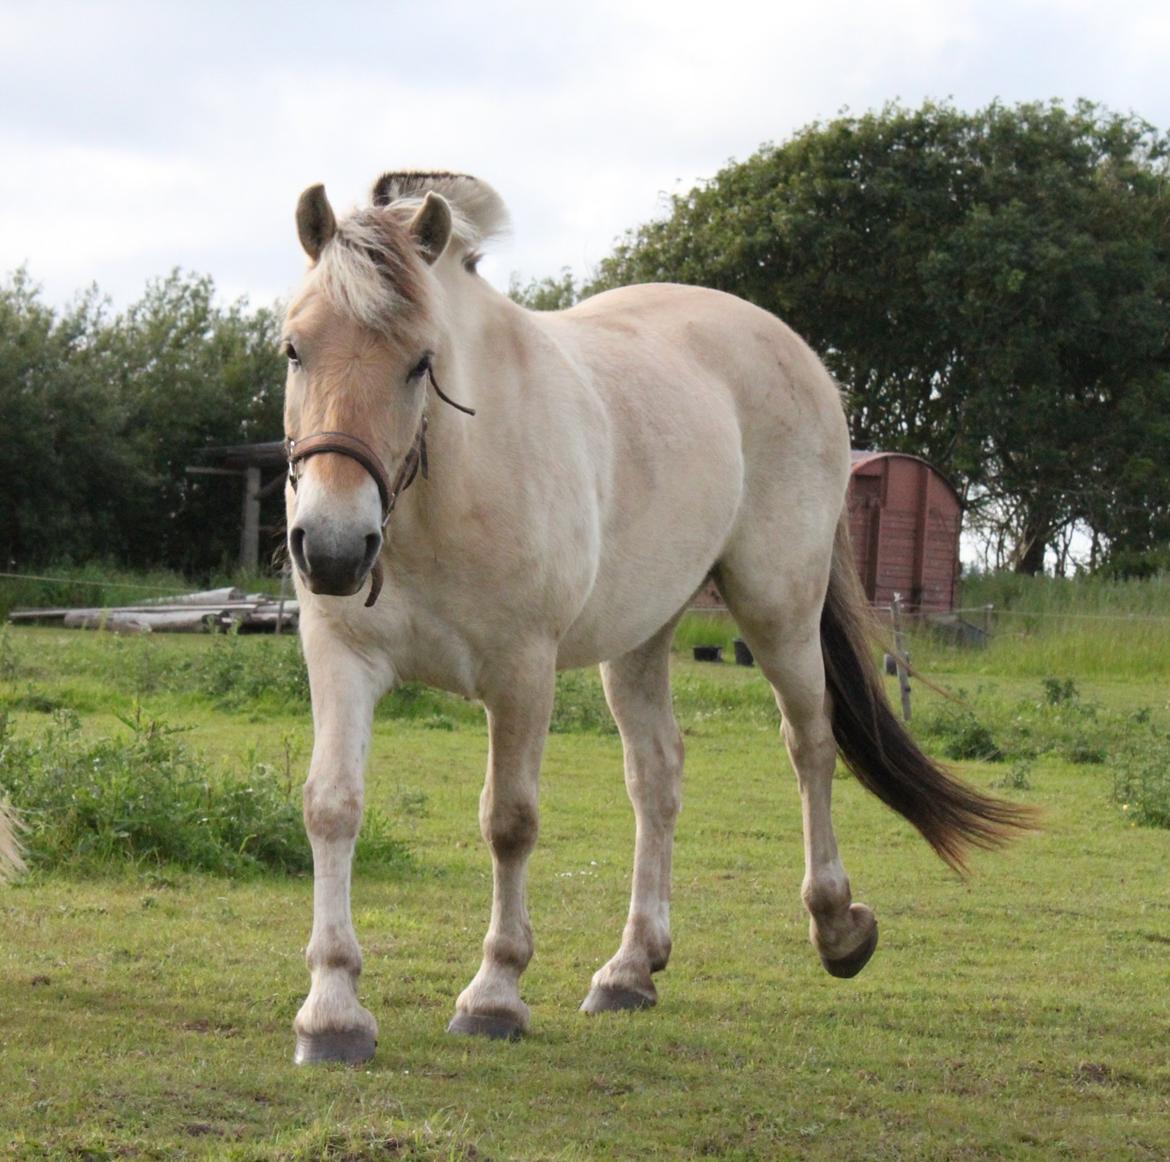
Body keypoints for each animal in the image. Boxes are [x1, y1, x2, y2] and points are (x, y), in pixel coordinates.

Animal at [273, 169, 1034, 1062]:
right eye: (294, 349)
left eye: (420, 362)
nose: (332, 548)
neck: (444, 490)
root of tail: (797, 353)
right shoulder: (342, 656)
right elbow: (333, 804)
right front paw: (332, 1010)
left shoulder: (522, 672)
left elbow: (509, 822)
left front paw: (495, 994)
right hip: (640, 639)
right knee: (657, 776)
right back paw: (631, 967)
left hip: (778, 610)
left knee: (809, 744)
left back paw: (836, 927)